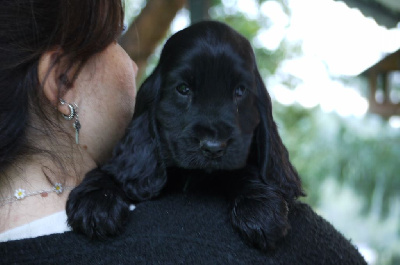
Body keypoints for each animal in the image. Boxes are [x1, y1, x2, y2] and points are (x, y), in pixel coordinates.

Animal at [66, 20, 304, 250]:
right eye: (183, 89)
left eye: (240, 91)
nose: (213, 147)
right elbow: (116, 170)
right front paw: (95, 201)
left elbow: (245, 170)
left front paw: (260, 208)